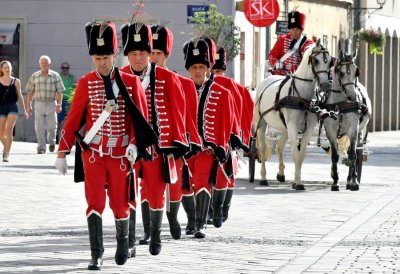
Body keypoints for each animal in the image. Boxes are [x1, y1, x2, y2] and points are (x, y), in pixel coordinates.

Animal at [253, 40, 332, 189]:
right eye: (316, 60)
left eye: (330, 61)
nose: (325, 85)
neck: (303, 97)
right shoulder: (293, 126)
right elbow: (295, 154)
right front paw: (297, 182)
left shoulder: (307, 128)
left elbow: (301, 156)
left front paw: (297, 181)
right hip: (261, 123)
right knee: (263, 148)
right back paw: (263, 177)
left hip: (284, 128)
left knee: (279, 146)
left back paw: (281, 173)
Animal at [322, 52, 372, 191]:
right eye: (341, 72)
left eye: (356, 72)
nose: (352, 97)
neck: (340, 105)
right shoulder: (330, 132)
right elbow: (334, 156)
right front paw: (335, 181)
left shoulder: (353, 130)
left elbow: (353, 155)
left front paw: (354, 182)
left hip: (358, 131)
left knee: (352, 153)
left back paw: (350, 180)